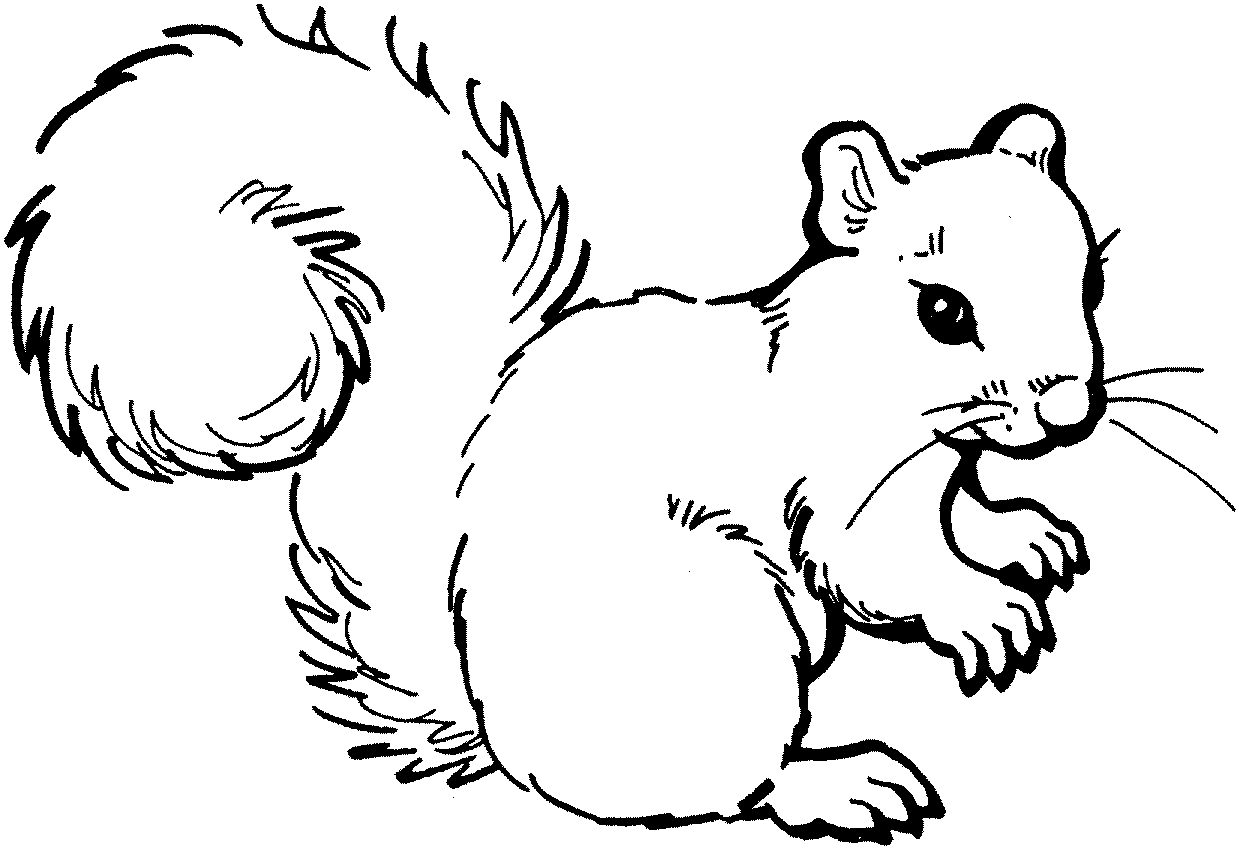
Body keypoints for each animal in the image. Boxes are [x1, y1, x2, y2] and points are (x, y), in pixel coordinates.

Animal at [7, 7, 1116, 844]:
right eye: (943, 310)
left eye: (1091, 280)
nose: (1068, 409)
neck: (897, 408)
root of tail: (498, 729)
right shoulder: (841, 492)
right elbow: (884, 567)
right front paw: (983, 609)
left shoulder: (943, 474)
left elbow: (966, 514)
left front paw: (1025, 536)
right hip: (709, 619)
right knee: (726, 784)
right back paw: (836, 782)